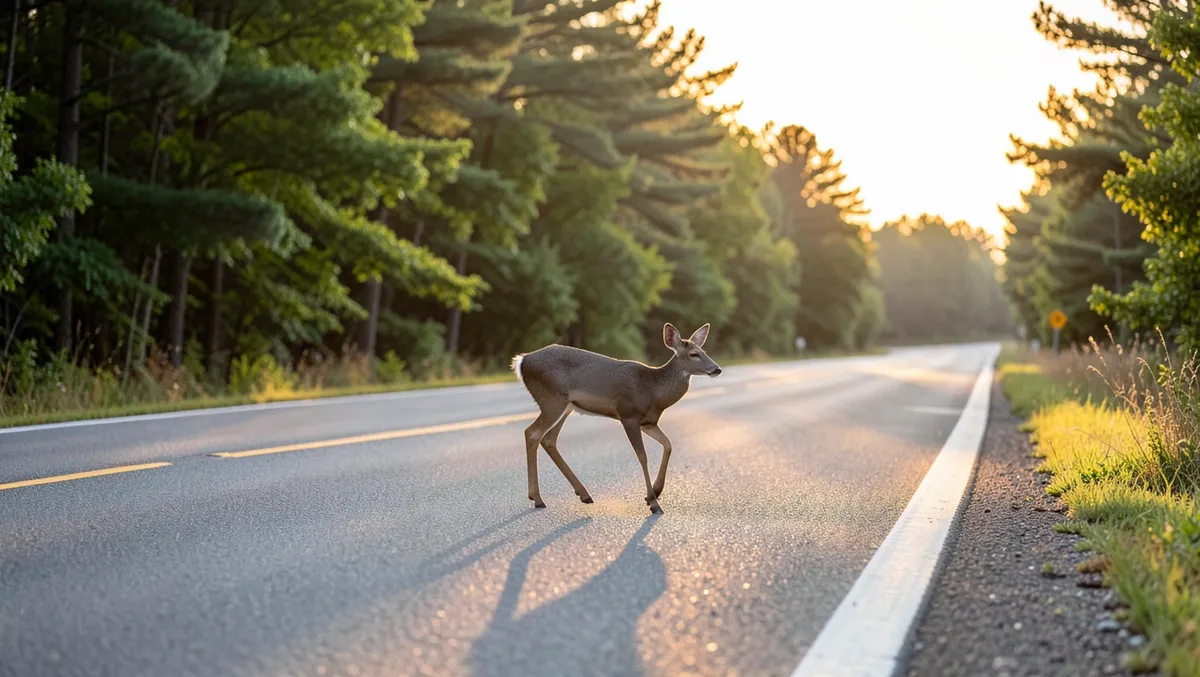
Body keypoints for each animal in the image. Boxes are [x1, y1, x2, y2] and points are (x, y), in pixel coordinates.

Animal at [510, 323, 722, 515]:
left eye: (704, 351)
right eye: (694, 354)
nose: (717, 369)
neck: (654, 390)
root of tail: (522, 360)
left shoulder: (649, 422)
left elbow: (668, 444)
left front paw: (655, 492)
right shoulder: (628, 415)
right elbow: (642, 456)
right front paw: (653, 503)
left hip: (567, 406)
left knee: (548, 439)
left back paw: (583, 494)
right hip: (552, 400)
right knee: (532, 433)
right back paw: (538, 499)